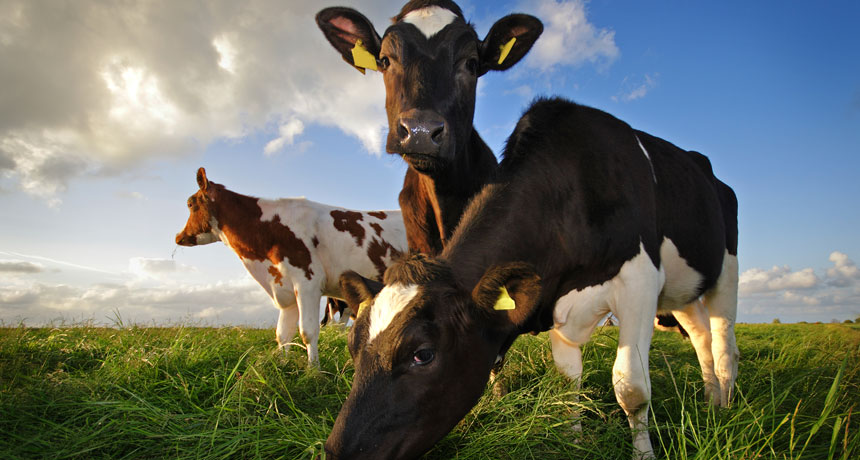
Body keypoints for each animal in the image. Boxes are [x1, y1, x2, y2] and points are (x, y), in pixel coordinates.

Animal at [174, 167, 407, 366]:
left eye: (190, 204)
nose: (179, 237)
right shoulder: (284, 289)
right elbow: (283, 334)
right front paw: (282, 366)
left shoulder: (307, 283)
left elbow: (308, 332)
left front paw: (314, 371)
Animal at [330, 98, 739, 459]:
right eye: (352, 345)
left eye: (423, 354)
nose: (336, 452)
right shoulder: (559, 303)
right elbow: (568, 381)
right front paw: (574, 442)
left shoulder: (640, 279)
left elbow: (631, 387)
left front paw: (643, 455)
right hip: (681, 291)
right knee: (700, 334)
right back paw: (709, 399)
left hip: (725, 269)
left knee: (722, 340)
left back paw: (726, 404)